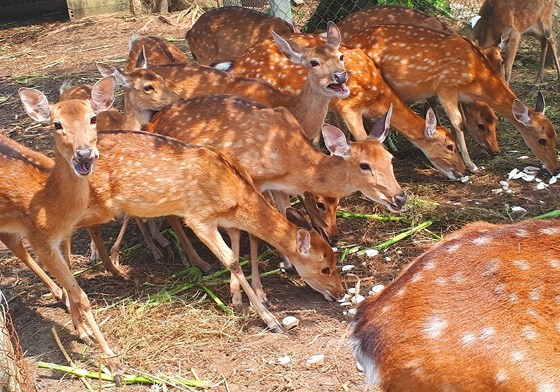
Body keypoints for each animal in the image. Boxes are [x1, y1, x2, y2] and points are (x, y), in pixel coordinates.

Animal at [9, 76, 124, 380]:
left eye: (93, 118)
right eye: (56, 124)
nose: (84, 154)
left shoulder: (63, 234)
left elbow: (72, 279)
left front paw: (82, 331)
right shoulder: (39, 238)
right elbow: (81, 295)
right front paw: (113, 362)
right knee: (16, 248)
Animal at [143, 94, 406, 304]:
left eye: (390, 158)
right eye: (365, 165)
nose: (400, 197)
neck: (290, 162)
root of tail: (151, 122)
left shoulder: (279, 187)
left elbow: (285, 212)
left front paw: (288, 263)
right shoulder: (254, 179)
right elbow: (253, 235)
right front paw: (258, 293)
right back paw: (197, 261)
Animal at [348, 23, 556, 173]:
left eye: (556, 136)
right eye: (542, 140)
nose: (556, 169)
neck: (475, 78)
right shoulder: (446, 87)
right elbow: (458, 122)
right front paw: (472, 166)